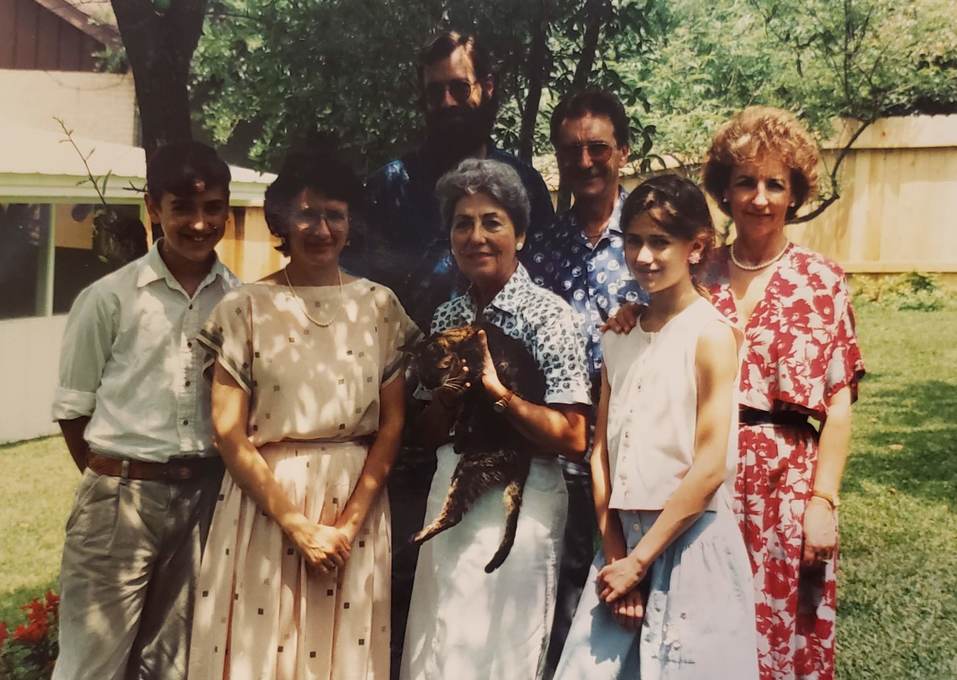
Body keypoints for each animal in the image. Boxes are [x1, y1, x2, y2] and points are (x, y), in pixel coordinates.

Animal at [407, 321, 546, 573]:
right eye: (422, 376)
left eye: (433, 373)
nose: (431, 387)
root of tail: (523, 454)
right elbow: (462, 408)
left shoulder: (477, 382)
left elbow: (465, 410)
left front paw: (460, 429)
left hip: (470, 466)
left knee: (453, 514)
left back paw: (414, 538)